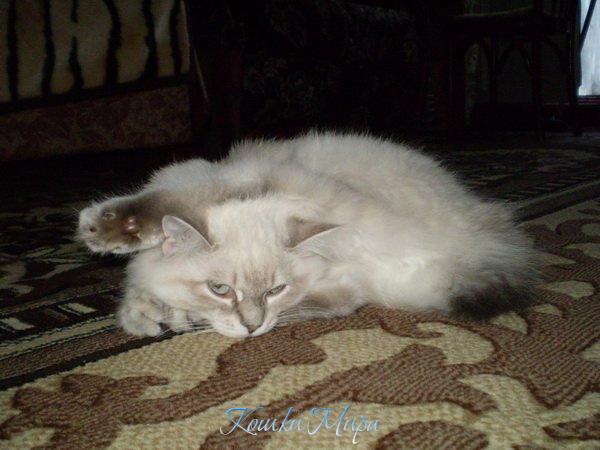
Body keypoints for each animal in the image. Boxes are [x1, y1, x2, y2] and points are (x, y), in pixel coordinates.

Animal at [77, 132, 540, 338]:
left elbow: (168, 203)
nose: (251, 327)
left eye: (274, 289)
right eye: (221, 288)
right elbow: (144, 283)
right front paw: (147, 313)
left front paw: (98, 228)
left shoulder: (237, 181)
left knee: (337, 301)